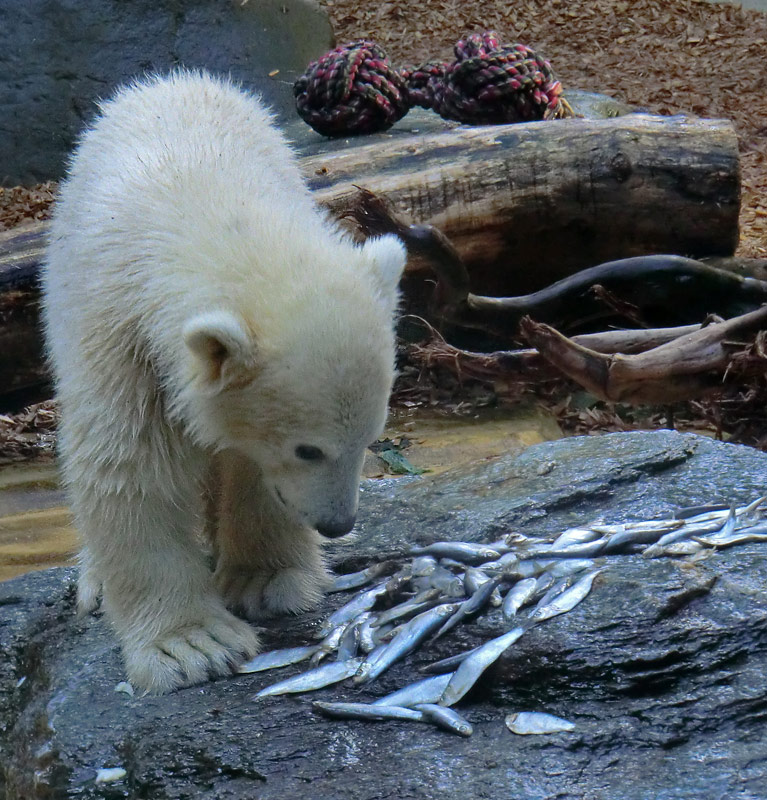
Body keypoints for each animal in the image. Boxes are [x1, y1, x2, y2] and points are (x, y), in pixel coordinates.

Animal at [43, 70, 408, 692]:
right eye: (308, 449)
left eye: (371, 438)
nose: (338, 524)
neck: (201, 196)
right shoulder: (121, 338)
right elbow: (130, 466)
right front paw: (190, 645)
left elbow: (248, 464)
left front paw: (265, 581)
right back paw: (93, 581)